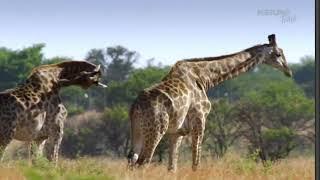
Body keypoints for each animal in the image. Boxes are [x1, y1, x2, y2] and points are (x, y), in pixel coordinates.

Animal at [127, 34, 292, 172]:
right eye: (278, 54)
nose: (288, 71)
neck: (205, 78)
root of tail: (135, 107)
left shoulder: (177, 132)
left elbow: (172, 168)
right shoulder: (200, 119)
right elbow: (196, 163)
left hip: (138, 131)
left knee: (132, 160)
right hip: (156, 130)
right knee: (143, 162)